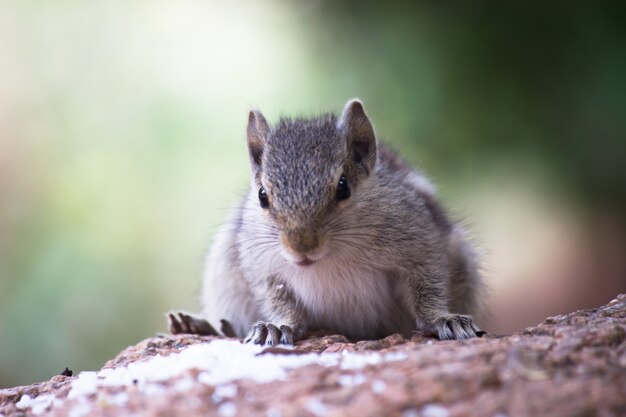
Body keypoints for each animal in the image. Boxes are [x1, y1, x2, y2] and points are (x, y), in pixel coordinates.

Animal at [169, 99, 482, 342]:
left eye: (343, 187)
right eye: (262, 195)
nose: (301, 247)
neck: (329, 261)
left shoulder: (420, 246)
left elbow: (427, 288)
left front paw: (443, 319)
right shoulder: (264, 270)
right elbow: (278, 301)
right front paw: (277, 326)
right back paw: (203, 325)